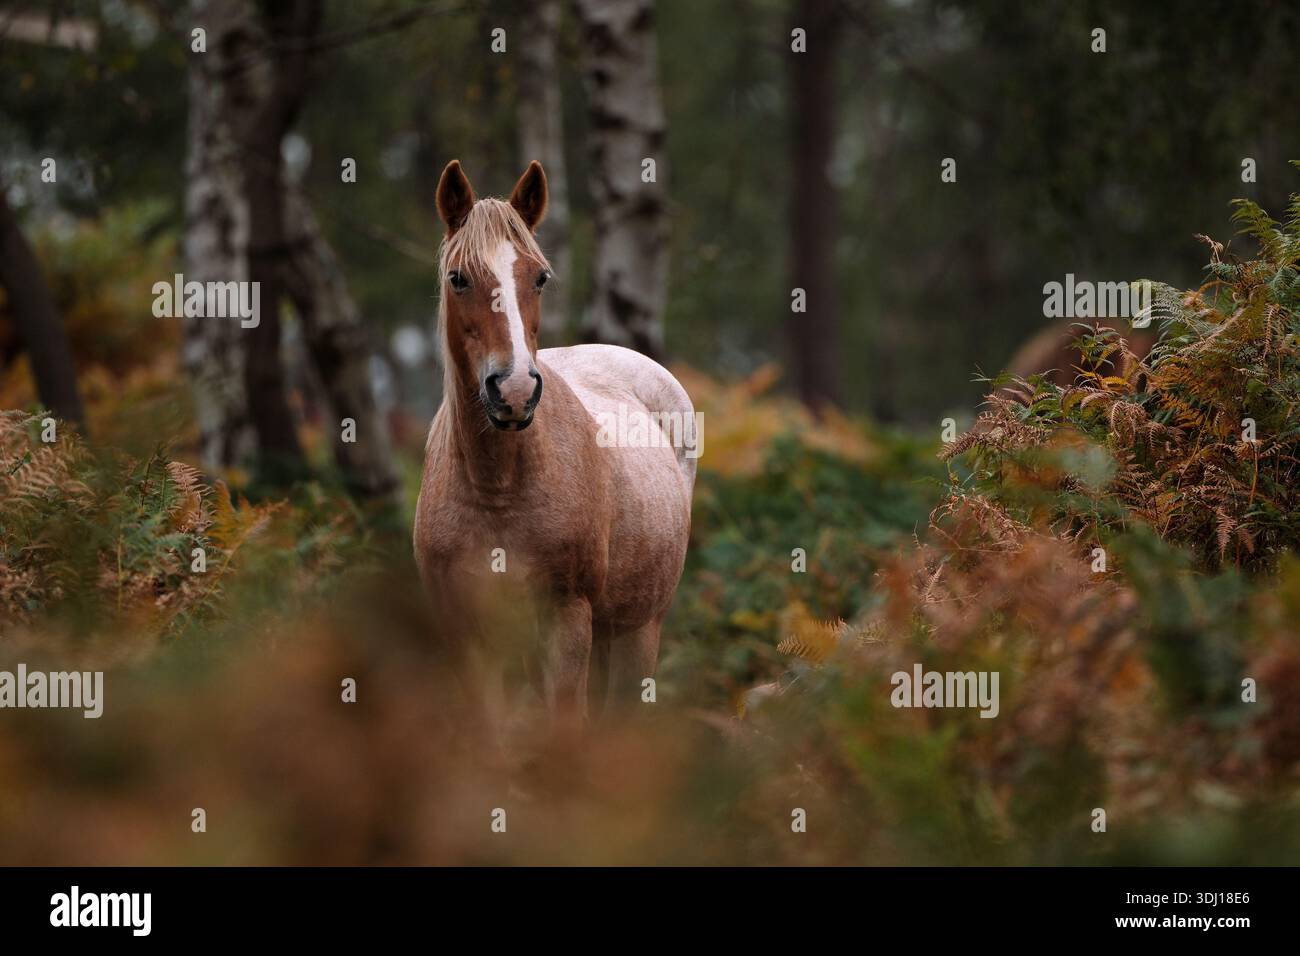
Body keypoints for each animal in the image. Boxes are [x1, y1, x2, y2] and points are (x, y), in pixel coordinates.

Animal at [413, 160, 695, 745]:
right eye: (458, 278)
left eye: (539, 277)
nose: (515, 390)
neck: (496, 489)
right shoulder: (468, 634)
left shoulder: (567, 616)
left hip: (638, 628)